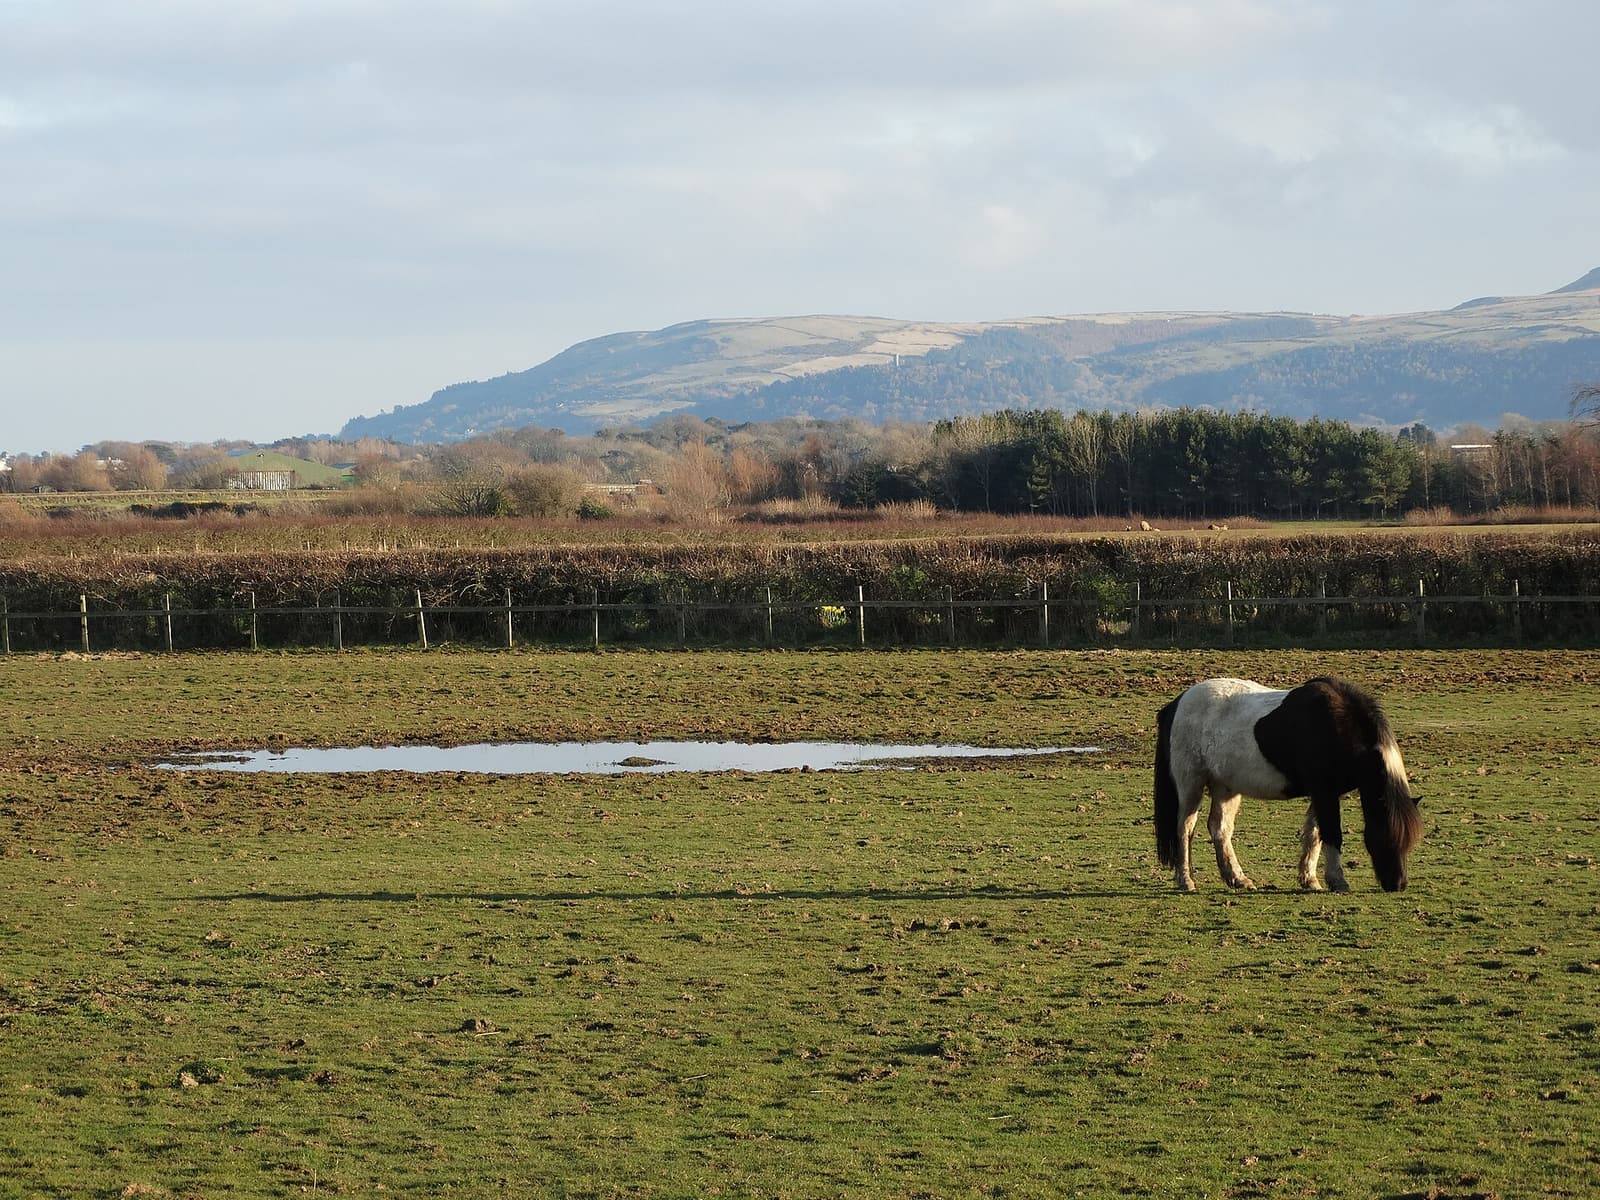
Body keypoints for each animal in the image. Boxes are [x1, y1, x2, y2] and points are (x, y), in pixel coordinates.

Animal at [1152, 676, 1423, 892]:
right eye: (1385, 835)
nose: (1398, 884)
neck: (1337, 726)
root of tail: (1178, 702)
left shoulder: (1325, 793)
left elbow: (1314, 834)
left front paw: (1310, 879)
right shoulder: (1324, 792)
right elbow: (1331, 834)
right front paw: (1337, 881)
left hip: (1225, 787)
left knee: (1220, 829)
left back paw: (1238, 879)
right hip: (1191, 785)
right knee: (1184, 828)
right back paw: (1186, 881)